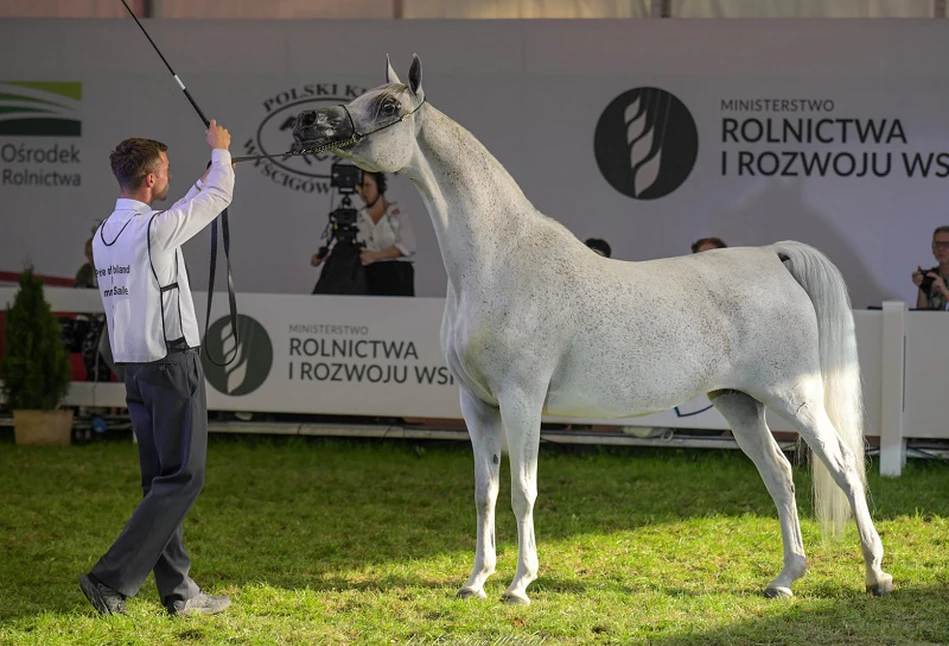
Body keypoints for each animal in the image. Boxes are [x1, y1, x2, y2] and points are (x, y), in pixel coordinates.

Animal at [292, 55, 892, 608]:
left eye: (388, 105)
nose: (307, 124)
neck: (499, 259)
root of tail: (773, 255)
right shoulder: (476, 404)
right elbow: (486, 492)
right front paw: (475, 581)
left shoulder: (521, 400)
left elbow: (522, 491)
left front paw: (519, 585)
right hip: (739, 402)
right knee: (779, 475)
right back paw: (785, 579)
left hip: (796, 396)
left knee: (843, 467)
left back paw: (875, 574)